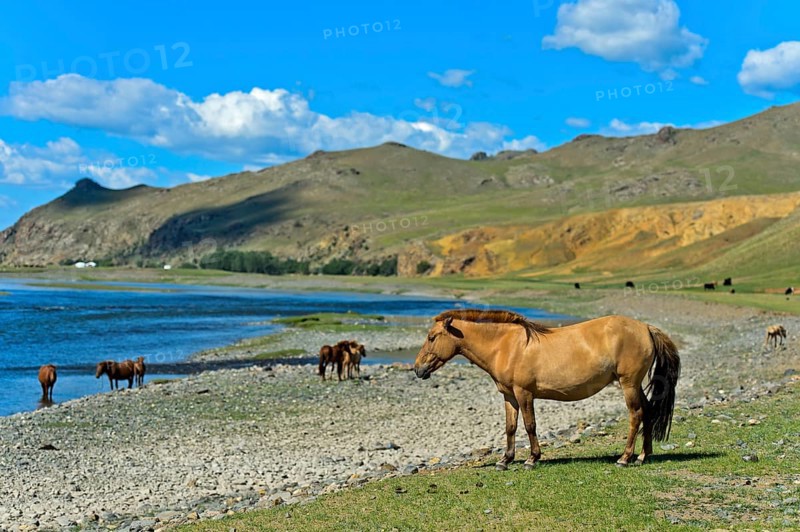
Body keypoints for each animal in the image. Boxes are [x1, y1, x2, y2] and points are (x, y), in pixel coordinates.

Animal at [414, 309, 680, 468]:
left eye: (431, 337)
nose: (417, 369)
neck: (506, 345)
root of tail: (646, 328)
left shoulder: (524, 393)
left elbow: (530, 425)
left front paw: (532, 458)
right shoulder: (509, 396)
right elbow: (511, 427)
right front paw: (504, 460)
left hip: (629, 384)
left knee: (636, 415)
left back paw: (624, 458)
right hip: (635, 386)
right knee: (648, 412)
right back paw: (643, 456)